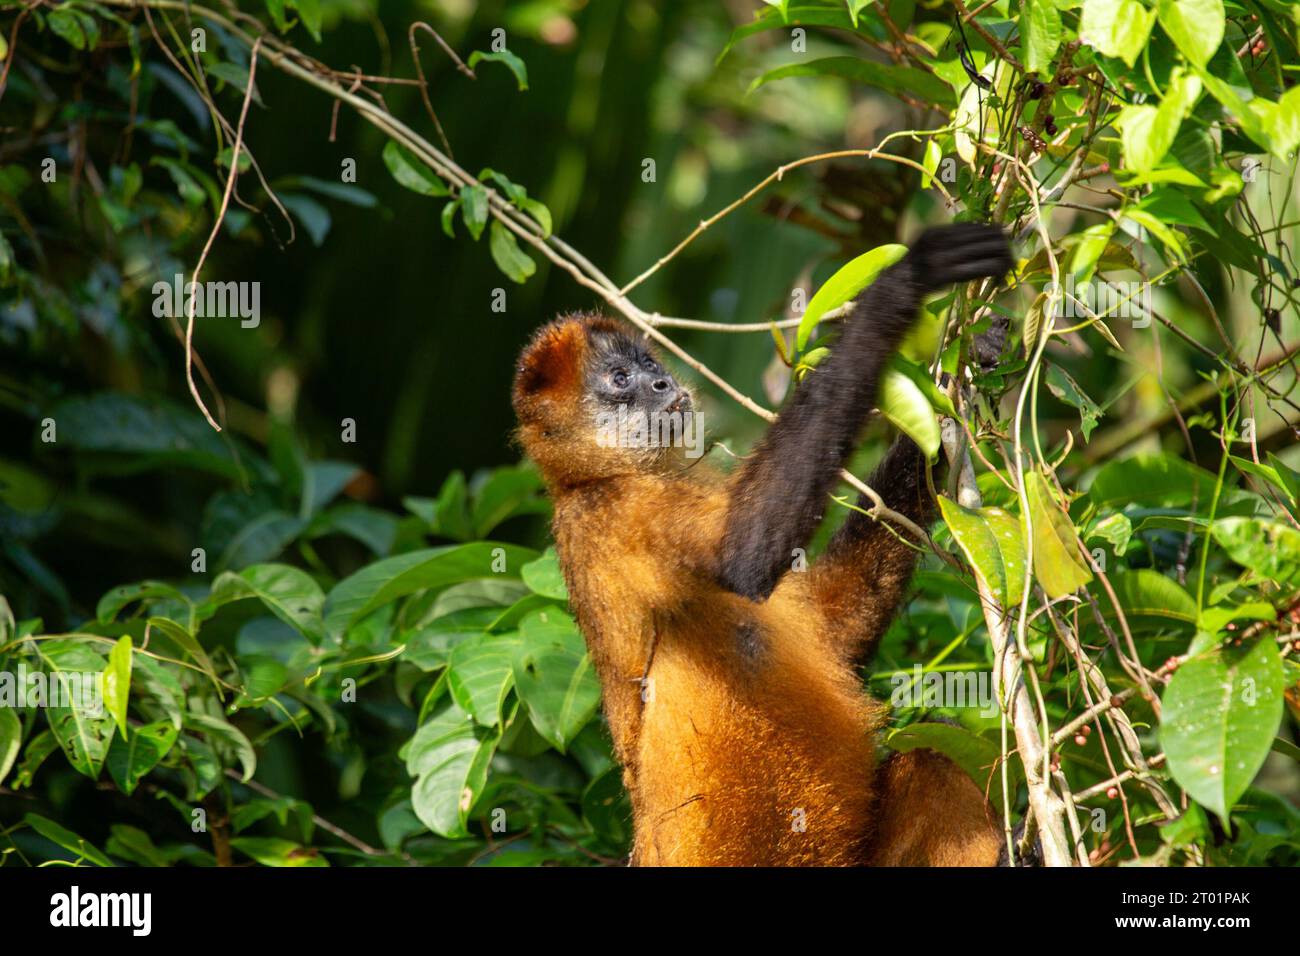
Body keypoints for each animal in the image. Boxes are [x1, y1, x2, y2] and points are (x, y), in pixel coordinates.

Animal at [512, 223, 1008, 868]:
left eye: (649, 364)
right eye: (621, 380)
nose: (662, 382)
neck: (593, 477)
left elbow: (836, 626)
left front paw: (976, 356)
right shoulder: (613, 512)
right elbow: (743, 553)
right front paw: (907, 280)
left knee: (934, 759)